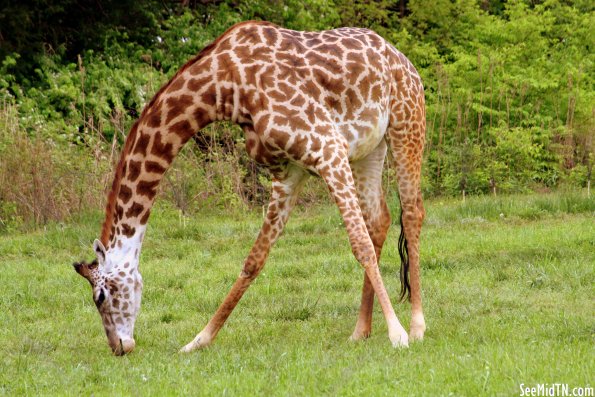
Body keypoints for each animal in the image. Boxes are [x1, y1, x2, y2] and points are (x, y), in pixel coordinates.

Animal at [74, 20, 426, 354]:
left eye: (100, 296)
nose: (119, 347)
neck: (225, 86)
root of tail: (401, 58)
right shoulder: (288, 173)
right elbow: (254, 260)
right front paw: (199, 340)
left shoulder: (327, 148)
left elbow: (359, 244)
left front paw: (397, 334)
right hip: (371, 148)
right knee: (380, 219)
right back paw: (360, 330)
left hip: (406, 124)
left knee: (411, 213)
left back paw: (417, 326)